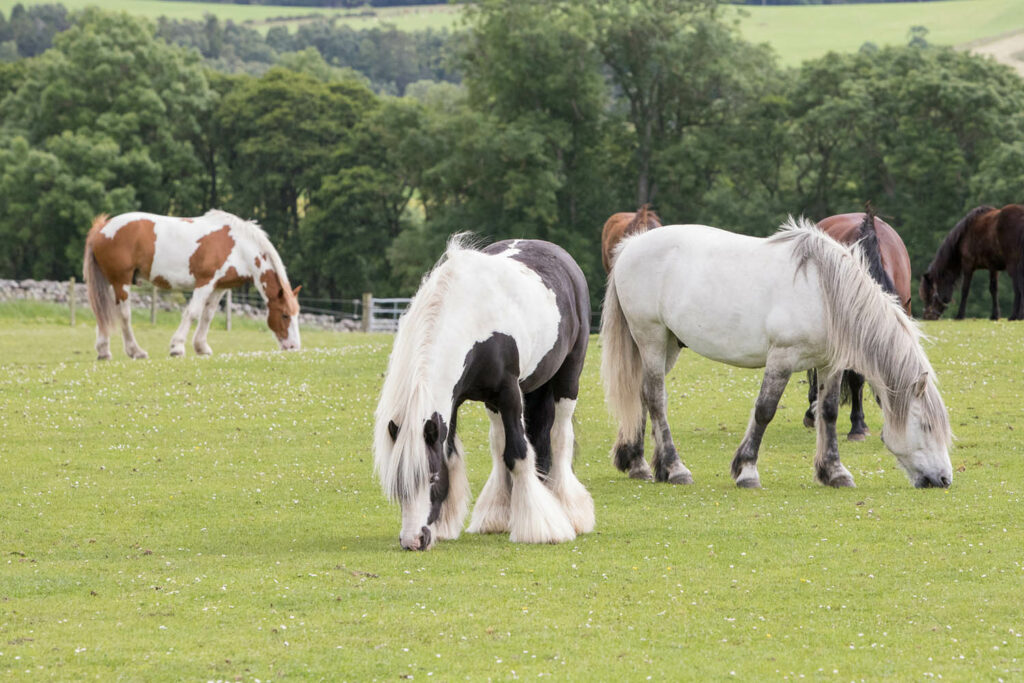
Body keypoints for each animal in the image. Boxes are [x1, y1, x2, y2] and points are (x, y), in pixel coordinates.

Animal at [83, 209, 299, 360]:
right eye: (285, 315)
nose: (294, 347)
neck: (239, 246)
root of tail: (101, 229)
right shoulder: (205, 282)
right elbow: (193, 313)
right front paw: (177, 347)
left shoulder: (219, 287)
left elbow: (207, 316)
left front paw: (201, 347)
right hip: (121, 282)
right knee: (124, 315)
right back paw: (136, 351)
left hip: (108, 283)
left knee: (102, 315)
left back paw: (103, 351)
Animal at [374, 235, 593, 548]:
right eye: (399, 484)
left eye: (431, 478)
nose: (413, 540)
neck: (471, 319)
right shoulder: (453, 403)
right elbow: (458, 454)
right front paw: (445, 525)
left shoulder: (509, 394)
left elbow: (518, 453)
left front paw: (538, 527)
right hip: (502, 400)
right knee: (503, 441)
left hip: (567, 379)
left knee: (560, 436)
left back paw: (570, 511)